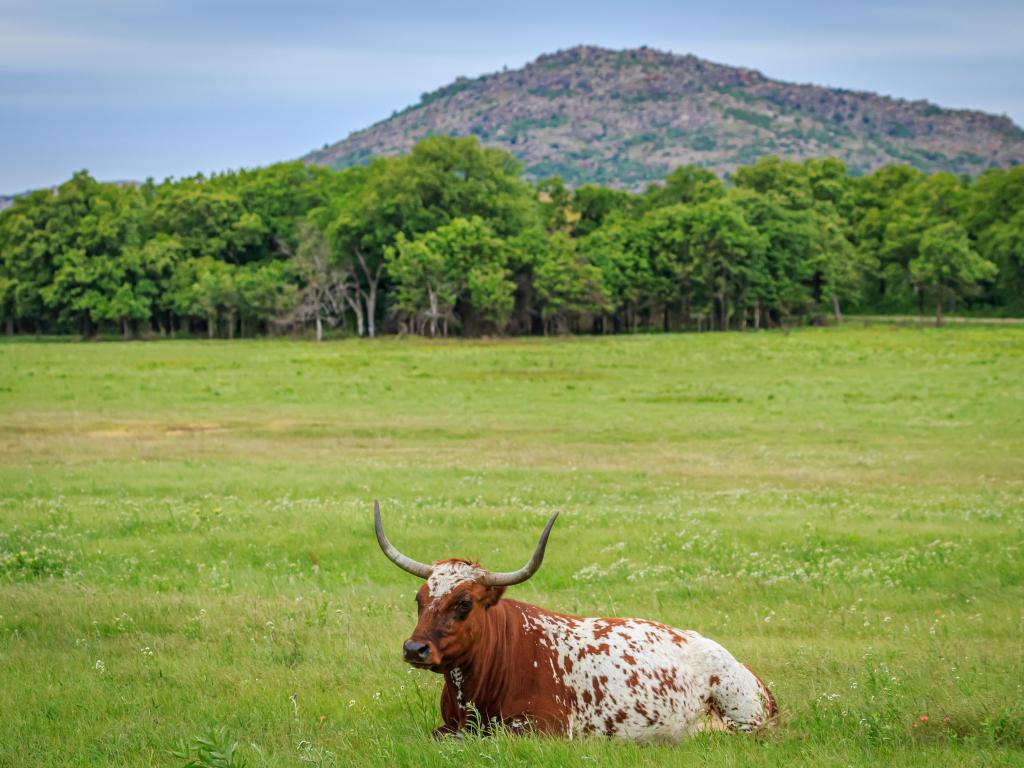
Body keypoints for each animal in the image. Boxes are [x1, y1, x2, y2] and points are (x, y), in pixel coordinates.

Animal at [376, 501, 774, 741]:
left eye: (464, 603)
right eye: (420, 599)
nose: (415, 648)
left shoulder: (543, 728)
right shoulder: (448, 725)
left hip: (740, 714)